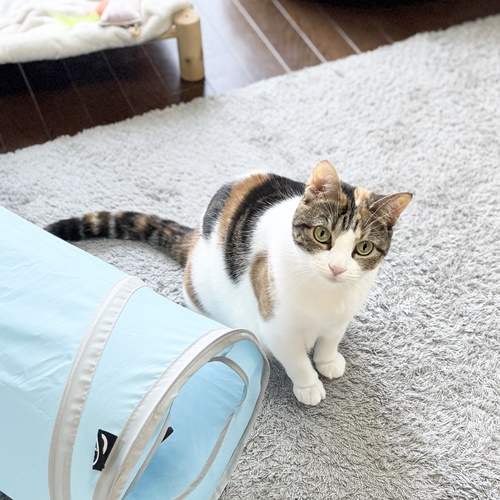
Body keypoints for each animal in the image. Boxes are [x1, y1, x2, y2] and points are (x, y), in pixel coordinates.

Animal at [46, 160, 412, 406]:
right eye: (322, 235)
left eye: (363, 248)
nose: (336, 268)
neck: (326, 295)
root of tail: (196, 235)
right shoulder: (276, 327)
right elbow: (295, 359)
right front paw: (309, 384)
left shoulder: (340, 318)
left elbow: (329, 341)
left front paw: (327, 361)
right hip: (199, 288)